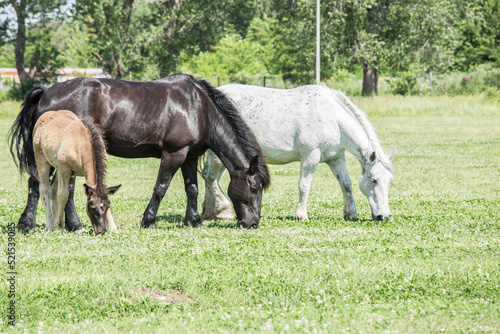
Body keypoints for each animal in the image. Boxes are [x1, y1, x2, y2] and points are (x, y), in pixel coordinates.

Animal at [7, 73, 272, 231]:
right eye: (254, 188)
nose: (253, 223)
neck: (198, 108)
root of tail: (46, 92)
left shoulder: (189, 156)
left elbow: (192, 189)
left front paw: (193, 221)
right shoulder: (174, 154)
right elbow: (160, 188)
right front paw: (149, 220)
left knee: (48, 187)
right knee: (45, 186)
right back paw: (48, 224)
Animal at [200, 85, 394, 222]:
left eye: (389, 181)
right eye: (374, 180)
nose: (384, 216)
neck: (331, 116)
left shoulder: (336, 158)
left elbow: (346, 184)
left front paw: (350, 213)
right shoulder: (310, 157)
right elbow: (304, 186)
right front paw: (301, 214)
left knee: (211, 178)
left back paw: (210, 212)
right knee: (210, 177)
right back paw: (224, 211)